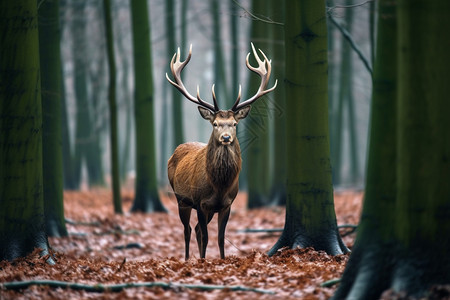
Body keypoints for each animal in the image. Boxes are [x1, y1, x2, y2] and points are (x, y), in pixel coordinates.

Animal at [167, 42, 276, 260]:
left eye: (234, 123)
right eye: (215, 123)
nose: (226, 138)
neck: (219, 186)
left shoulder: (227, 204)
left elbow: (219, 238)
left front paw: (222, 260)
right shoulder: (200, 202)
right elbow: (206, 236)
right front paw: (202, 261)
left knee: (196, 230)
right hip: (181, 198)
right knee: (188, 230)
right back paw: (186, 259)